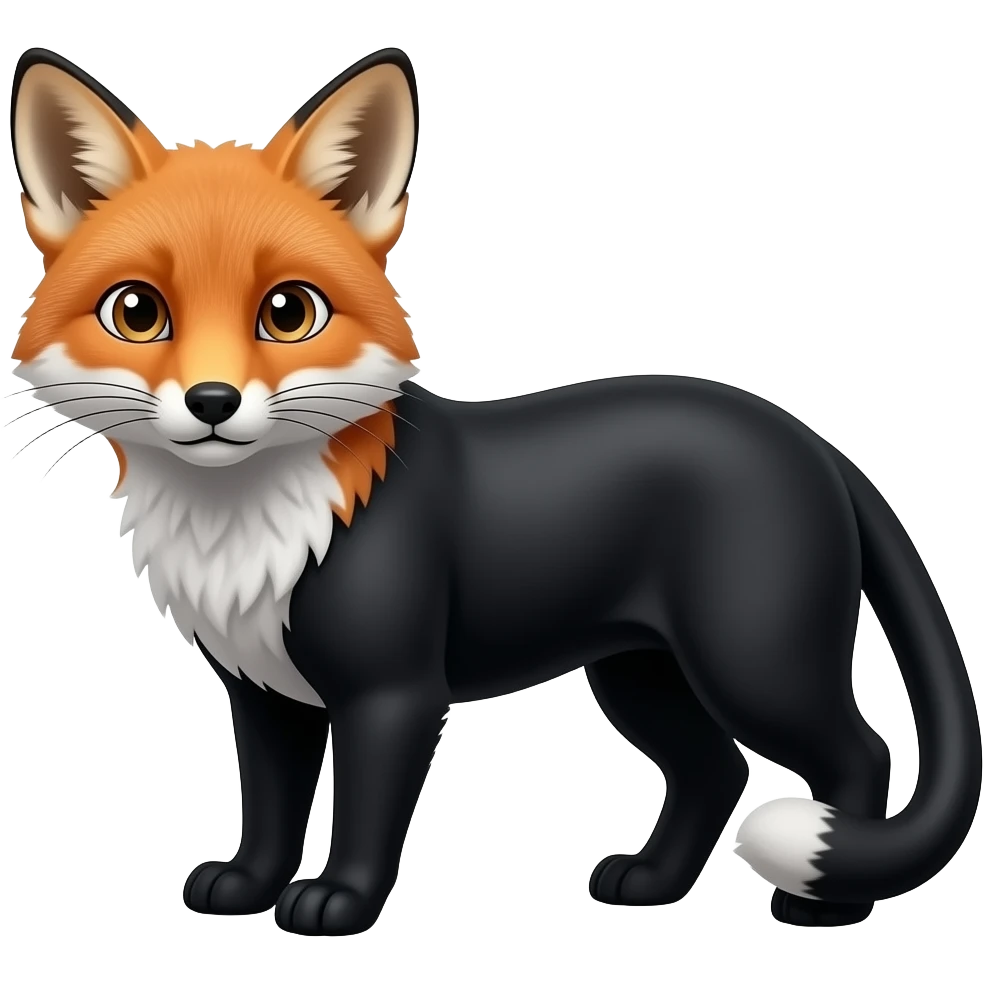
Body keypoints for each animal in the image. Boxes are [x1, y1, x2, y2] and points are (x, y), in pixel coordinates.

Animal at [7, 45, 981, 938]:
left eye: (289, 313)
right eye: (138, 312)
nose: (213, 402)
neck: (245, 526)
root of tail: (810, 440)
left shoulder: (394, 690)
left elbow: (366, 811)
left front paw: (338, 903)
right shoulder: (261, 689)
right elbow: (272, 807)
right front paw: (247, 888)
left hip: (755, 662)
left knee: (860, 754)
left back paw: (825, 906)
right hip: (639, 674)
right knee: (718, 771)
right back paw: (652, 883)